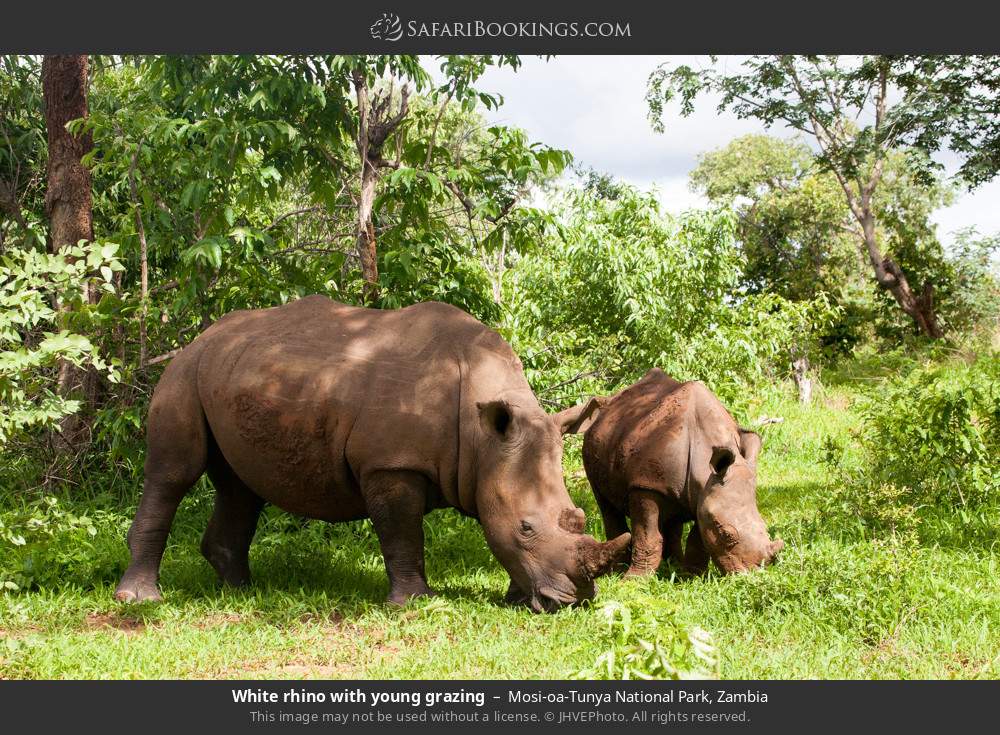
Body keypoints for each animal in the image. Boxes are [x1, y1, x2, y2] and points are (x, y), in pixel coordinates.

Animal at [115, 296, 624, 612]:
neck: (483, 438)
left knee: (240, 487)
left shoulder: (490, 461)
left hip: (232, 373)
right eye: (526, 527)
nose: (572, 602)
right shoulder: (391, 464)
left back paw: (241, 592)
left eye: (576, 518)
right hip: (186, 372)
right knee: (173, 473)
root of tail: (199, 337)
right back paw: (141, 601)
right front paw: (415, 603)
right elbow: (402, 535)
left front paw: (516, 598)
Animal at [560, 370, 784, 576]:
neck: (704, 469)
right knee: (606, 503)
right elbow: (647, 536)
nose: (751, 576)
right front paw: (635, 580)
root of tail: (609, 402)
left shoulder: (705, 493)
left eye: (764, 527)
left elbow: (699, 537)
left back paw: (673, 566)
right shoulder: (645, 485)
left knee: (674, 513)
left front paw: (692, 577)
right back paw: (619, 570)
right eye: (726, 534)